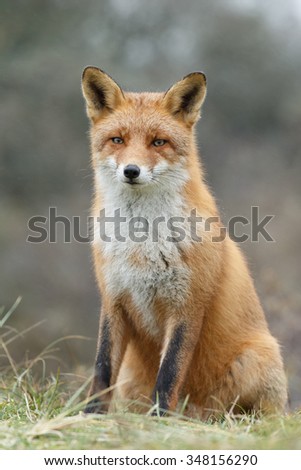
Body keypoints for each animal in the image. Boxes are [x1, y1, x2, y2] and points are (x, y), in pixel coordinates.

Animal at [80, 66, 286, 418]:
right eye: (118, 140)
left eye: (158, 142)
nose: (131, 171)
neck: (141, 243)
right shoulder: (113, 299)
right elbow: (102, 369)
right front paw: (89, 416)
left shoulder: (188, 305)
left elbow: (169, 374)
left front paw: (159, 420)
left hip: (258, 360)